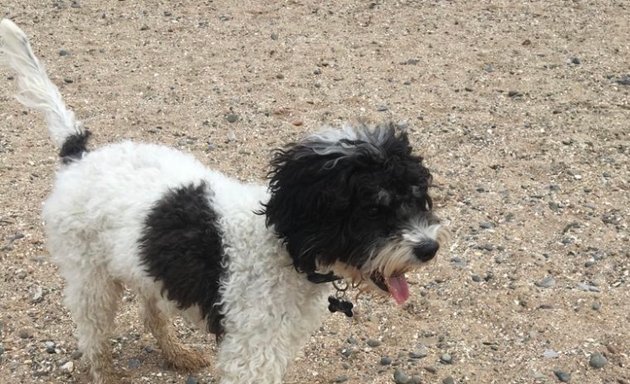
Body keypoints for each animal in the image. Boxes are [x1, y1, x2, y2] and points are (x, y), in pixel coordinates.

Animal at [0, 19, 444, 384]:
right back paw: (106, 373)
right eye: (373, 207)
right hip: (90, 280)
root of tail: (79, 153)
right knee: (93, 337)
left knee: (150, 313)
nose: (430, 248)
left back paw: (176, 354)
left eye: (416, 198)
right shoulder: (251, 353)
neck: (282, 245)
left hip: (144, 267)